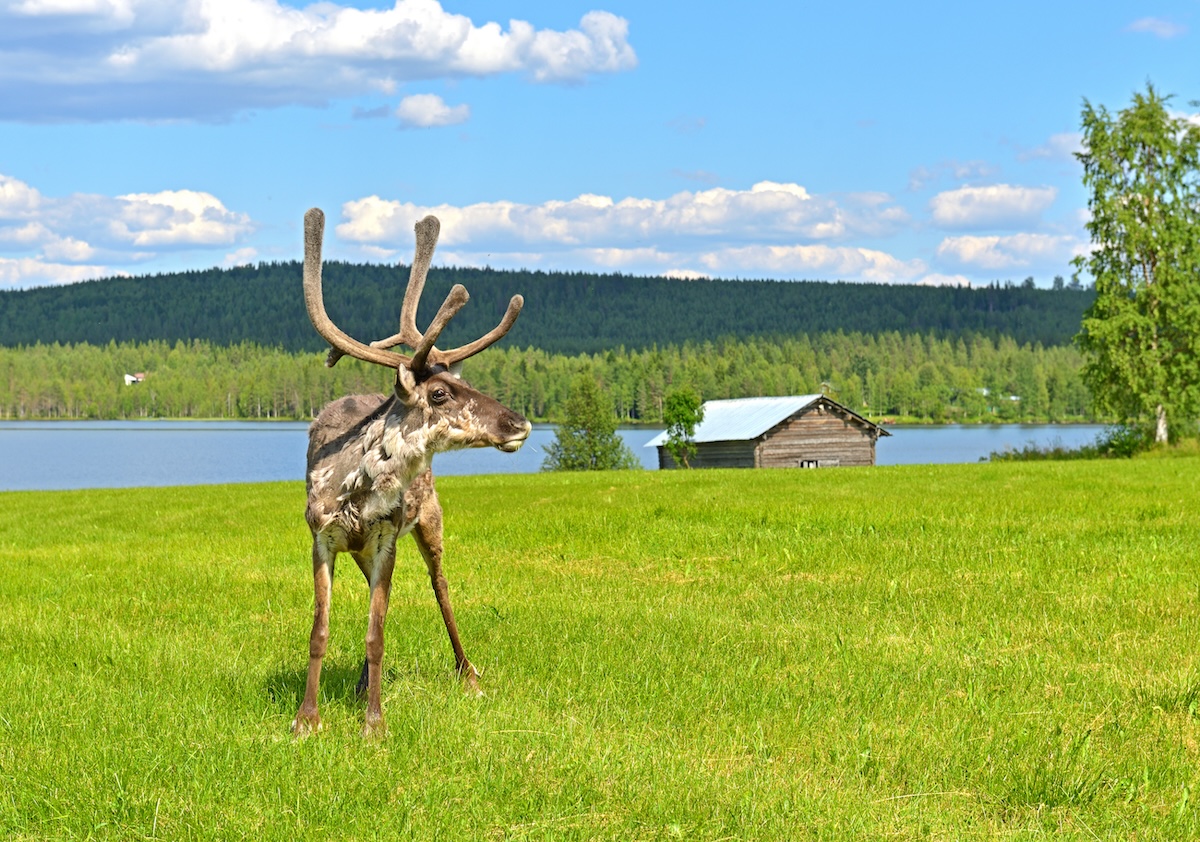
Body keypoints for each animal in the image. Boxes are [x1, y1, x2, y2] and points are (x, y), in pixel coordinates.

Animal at [292, 207, 531, 737]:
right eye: (439, 393)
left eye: (466, 382)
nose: (519, 422)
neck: (353, 491)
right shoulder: (322, 537)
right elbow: (321, 630)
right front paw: (306, 719)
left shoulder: (386, 537)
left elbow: (376, 634)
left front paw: (374, 724)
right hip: (367, 548)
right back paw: (360, 685)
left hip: (428, 521)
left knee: (441, 588)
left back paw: (469, 675)